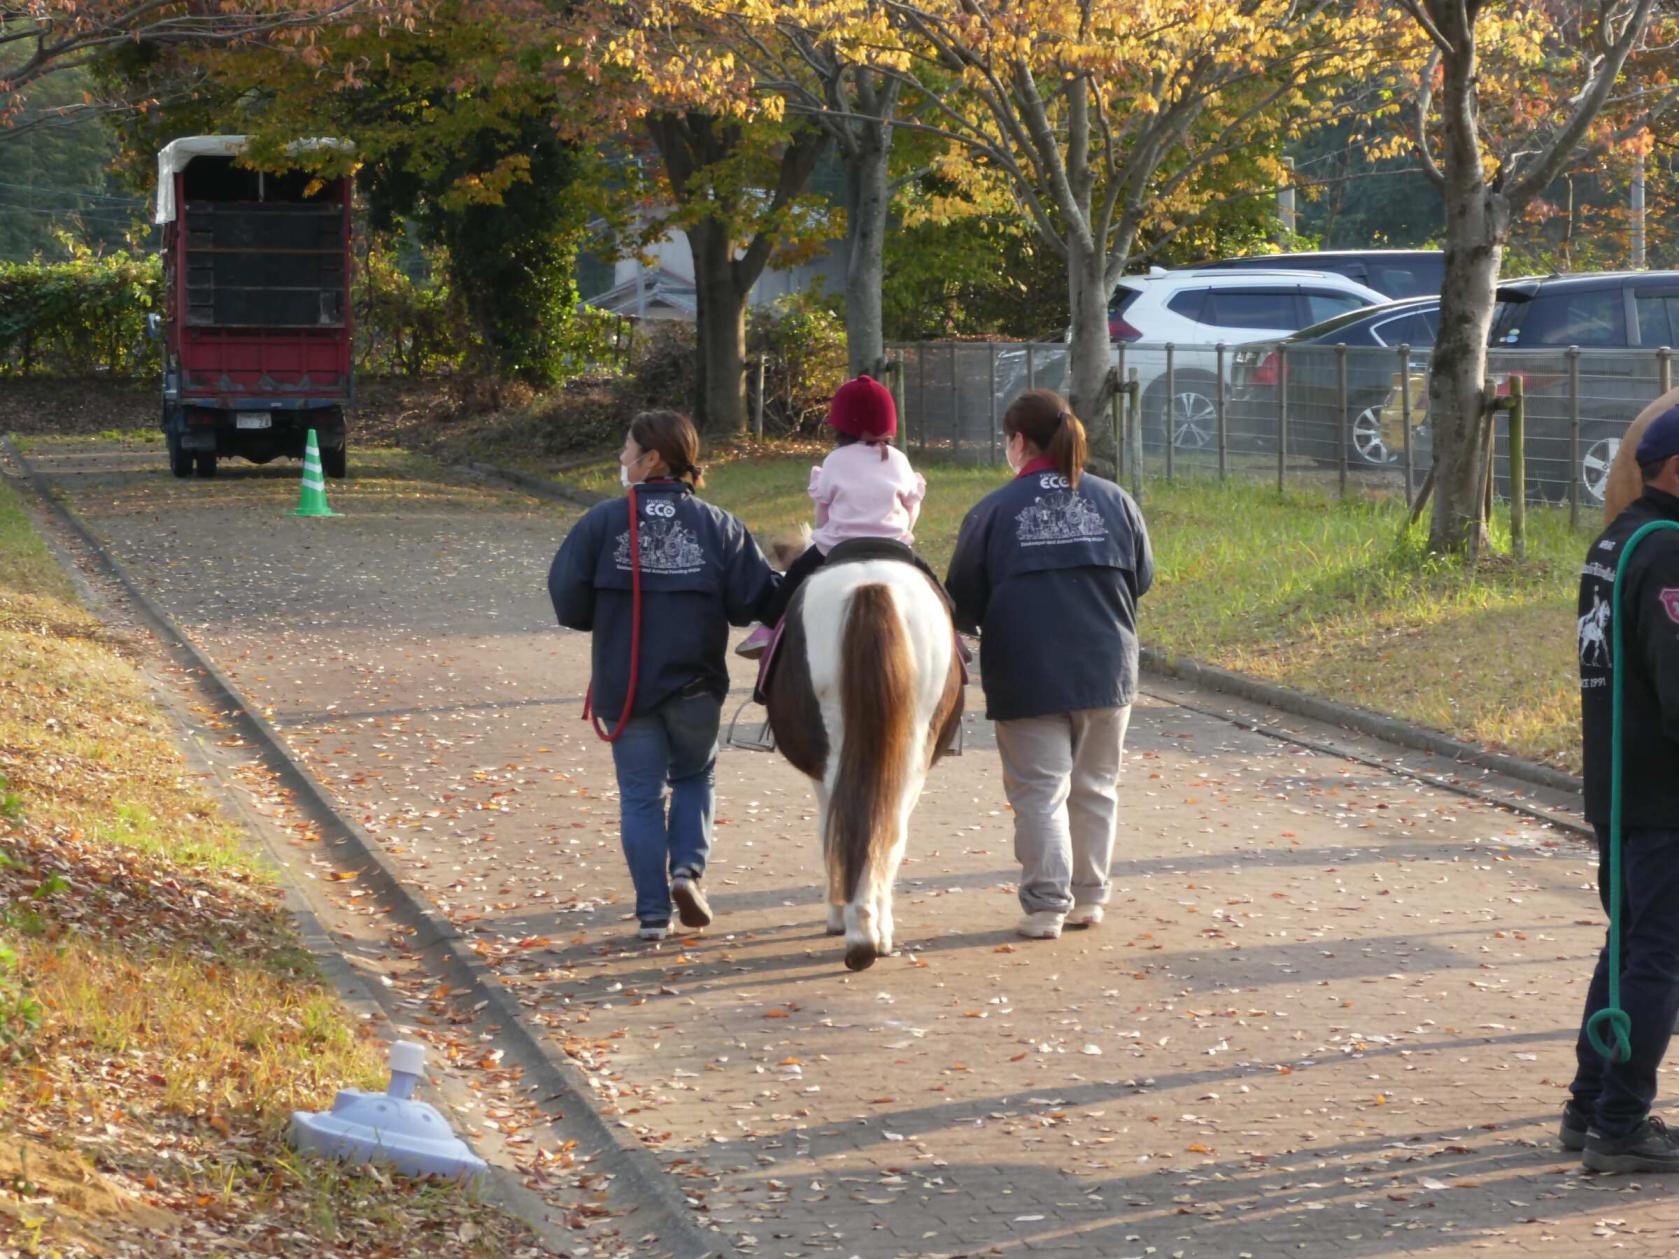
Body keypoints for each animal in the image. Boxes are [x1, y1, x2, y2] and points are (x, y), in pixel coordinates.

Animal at [768, 557, 967, 973]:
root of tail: (871, 586)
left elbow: (828, 832)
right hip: (910, 755)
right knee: (887, 830)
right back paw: (870, 933)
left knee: (860, 828)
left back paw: (861, 932)